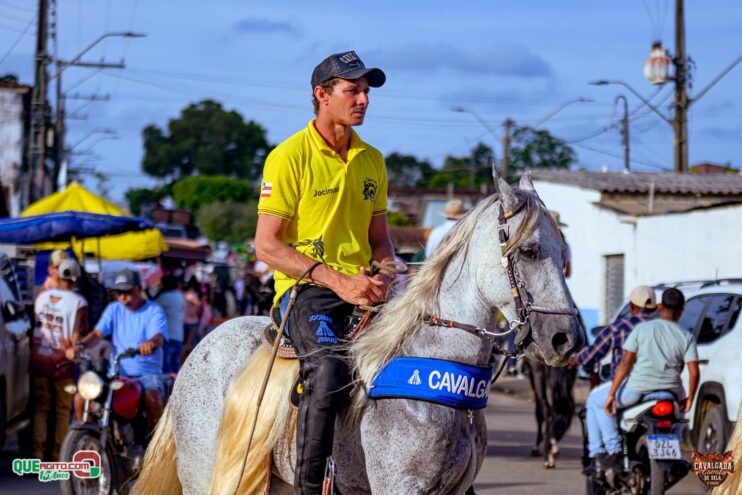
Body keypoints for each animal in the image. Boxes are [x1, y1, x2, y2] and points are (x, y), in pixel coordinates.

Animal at [133, 173, 584, 495]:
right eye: (529, 251)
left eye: (566, 255)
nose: (568, 340)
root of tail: (202, 346)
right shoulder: (400, 489)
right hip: (204, 472)